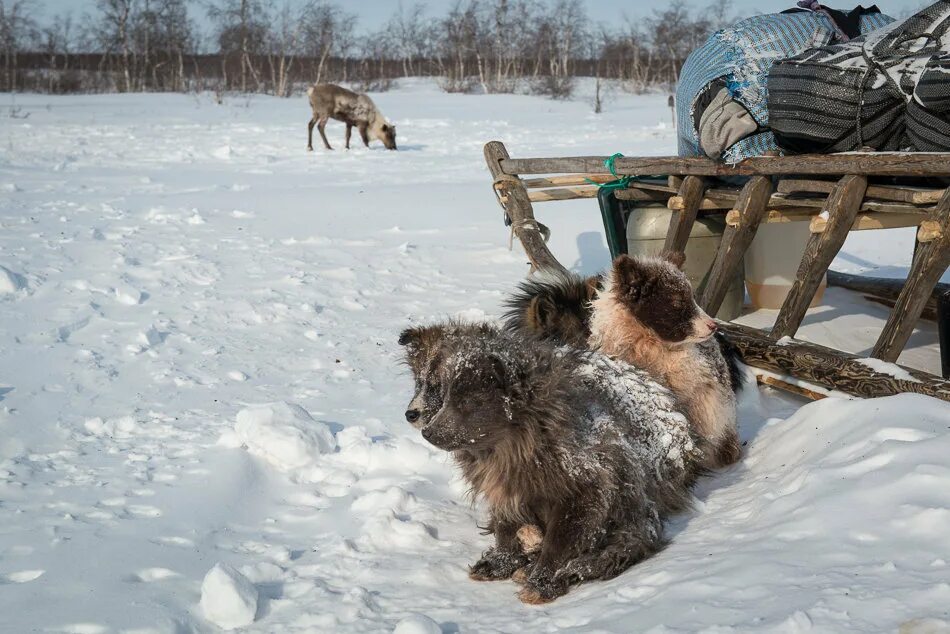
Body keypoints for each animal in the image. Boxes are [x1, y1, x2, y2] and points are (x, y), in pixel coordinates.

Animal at [398, 320, 704, 604]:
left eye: (466, 402)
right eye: (433, 387)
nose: (426, 429)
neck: (517, 440)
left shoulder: (588, 479)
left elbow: (562, 538)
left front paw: (542, 580)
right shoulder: (504, 480)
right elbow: (505, 522)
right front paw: (502, 560)